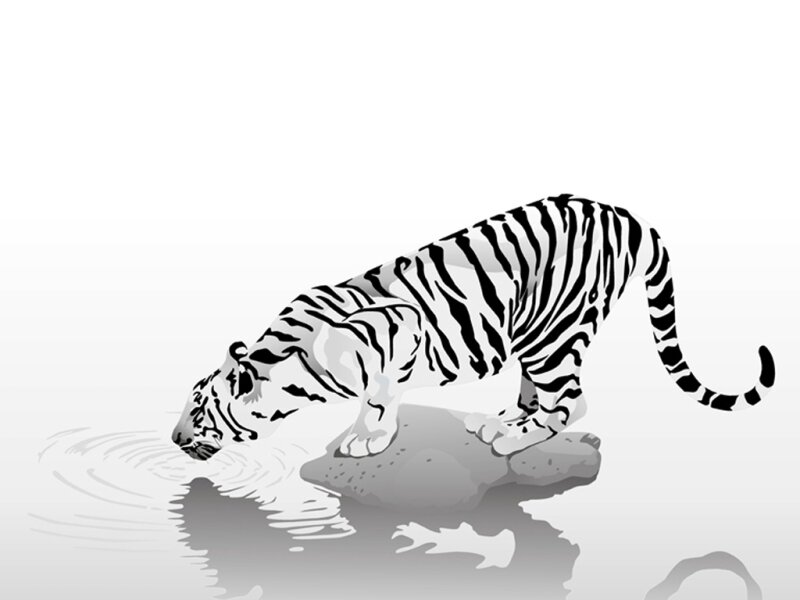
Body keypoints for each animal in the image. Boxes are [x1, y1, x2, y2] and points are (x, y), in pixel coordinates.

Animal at [171, 194, 775, 460]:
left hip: (553, 334)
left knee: (571, 402)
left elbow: (380, 396)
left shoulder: (399, 328)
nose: (174, 438)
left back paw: (513, 437)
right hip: (535, 332)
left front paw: (369, 438)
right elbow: (380, 395)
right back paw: (502, 418)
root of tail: (621, 212)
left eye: (200, 411)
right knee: (540, 391)